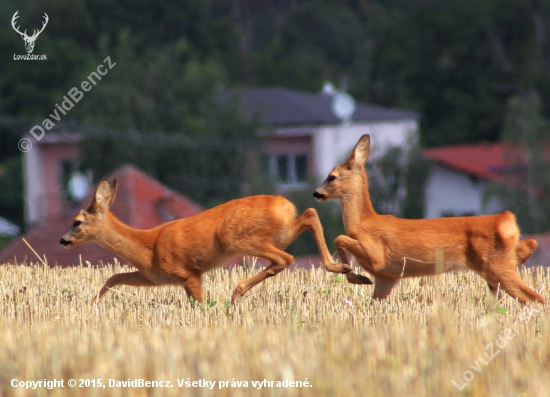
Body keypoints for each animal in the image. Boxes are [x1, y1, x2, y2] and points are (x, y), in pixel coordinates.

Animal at [60, 178, 374, 304]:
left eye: (77, 222)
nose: (63, 240)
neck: (148, 247)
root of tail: (284, 205)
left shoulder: (188, 273)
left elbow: (198, 304)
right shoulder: (154, 277)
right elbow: (113, 277)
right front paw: (92, 304)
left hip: (236, 237)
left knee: (286, 258)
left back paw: (237, 293)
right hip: (282, 232)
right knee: (309, 214)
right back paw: (348, 272)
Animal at [314, 133, 548, 304]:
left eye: (332, 177)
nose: (316, 193)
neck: (362, 222)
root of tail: (505, 221)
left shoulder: (376, 255)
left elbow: (338, 238)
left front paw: (352, 274)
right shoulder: (387, 278)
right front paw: (356, 277)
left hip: (497, 267)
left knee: (535, 298)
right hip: (494, 273)